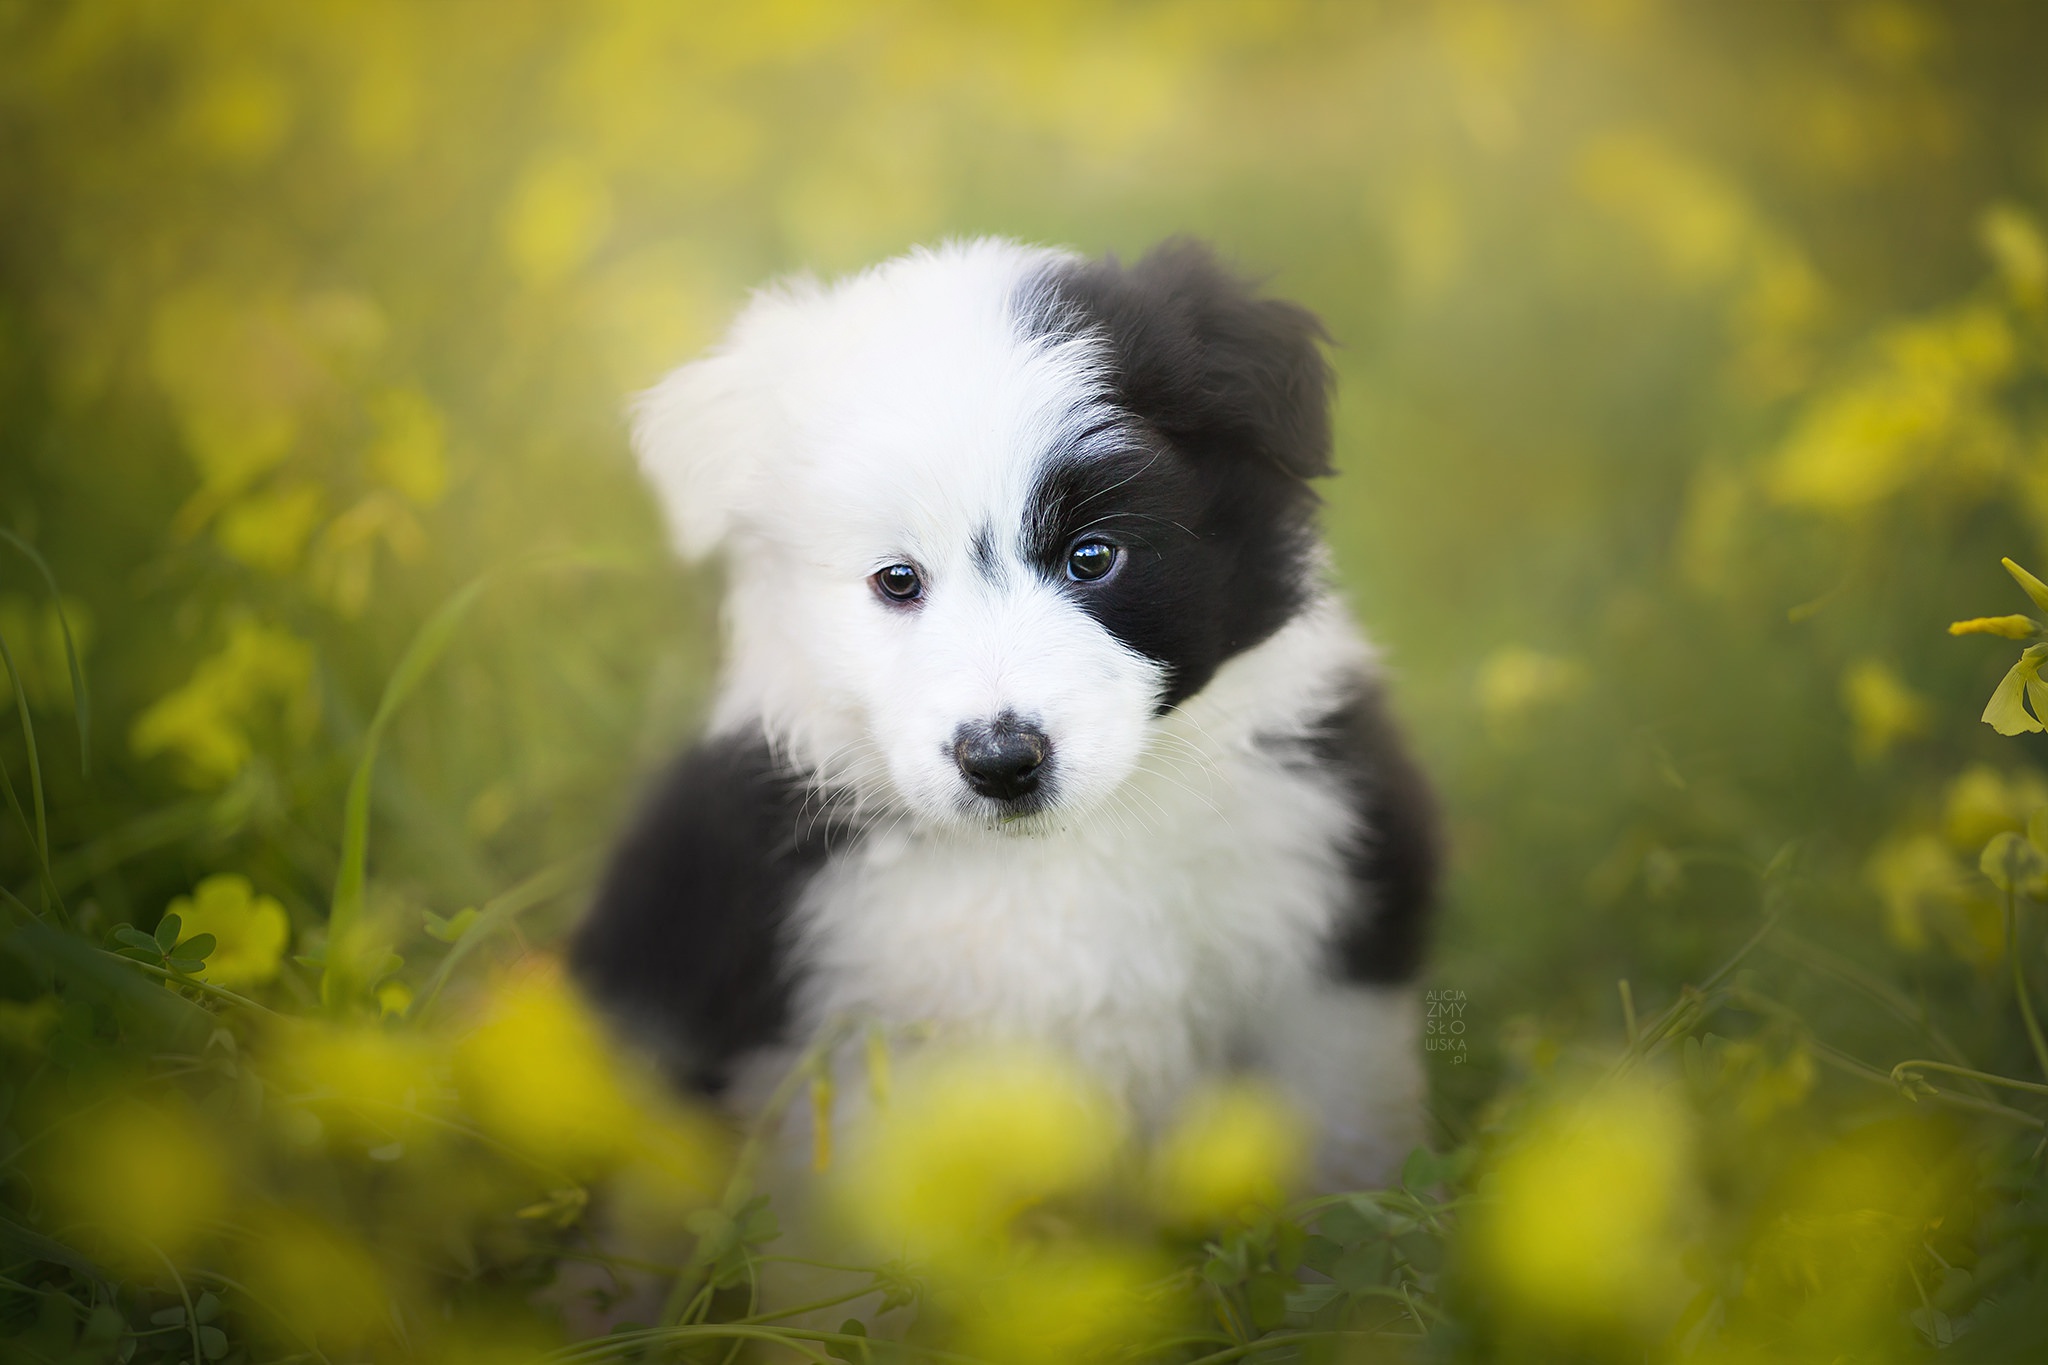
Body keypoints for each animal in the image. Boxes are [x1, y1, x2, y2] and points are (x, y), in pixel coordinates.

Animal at [573, 235, 1441, 1186]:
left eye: (1092, 556)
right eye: (897, 579)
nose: (1001, 762)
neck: (1058, 856)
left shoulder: (1325, 960)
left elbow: (1344, 1150)